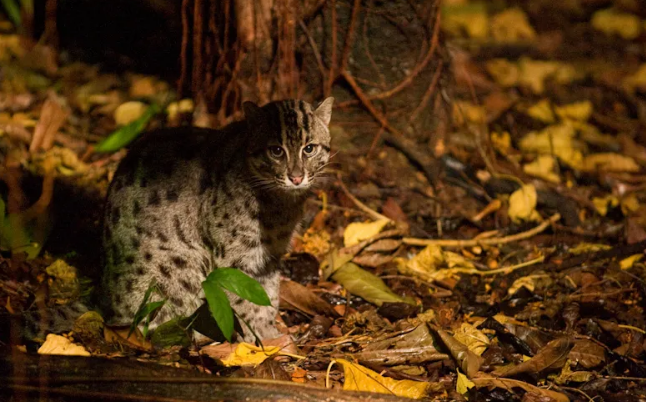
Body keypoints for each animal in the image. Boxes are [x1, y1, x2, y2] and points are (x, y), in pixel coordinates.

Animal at [102, 97, 336, 340]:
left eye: (309, 148)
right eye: (276, 151)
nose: (296, 177)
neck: (280, 206)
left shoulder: (270, 256)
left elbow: (268, 294)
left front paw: (268, 330)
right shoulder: (234, 259)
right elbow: (242, 301)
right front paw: (254, 337)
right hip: (180, 266)